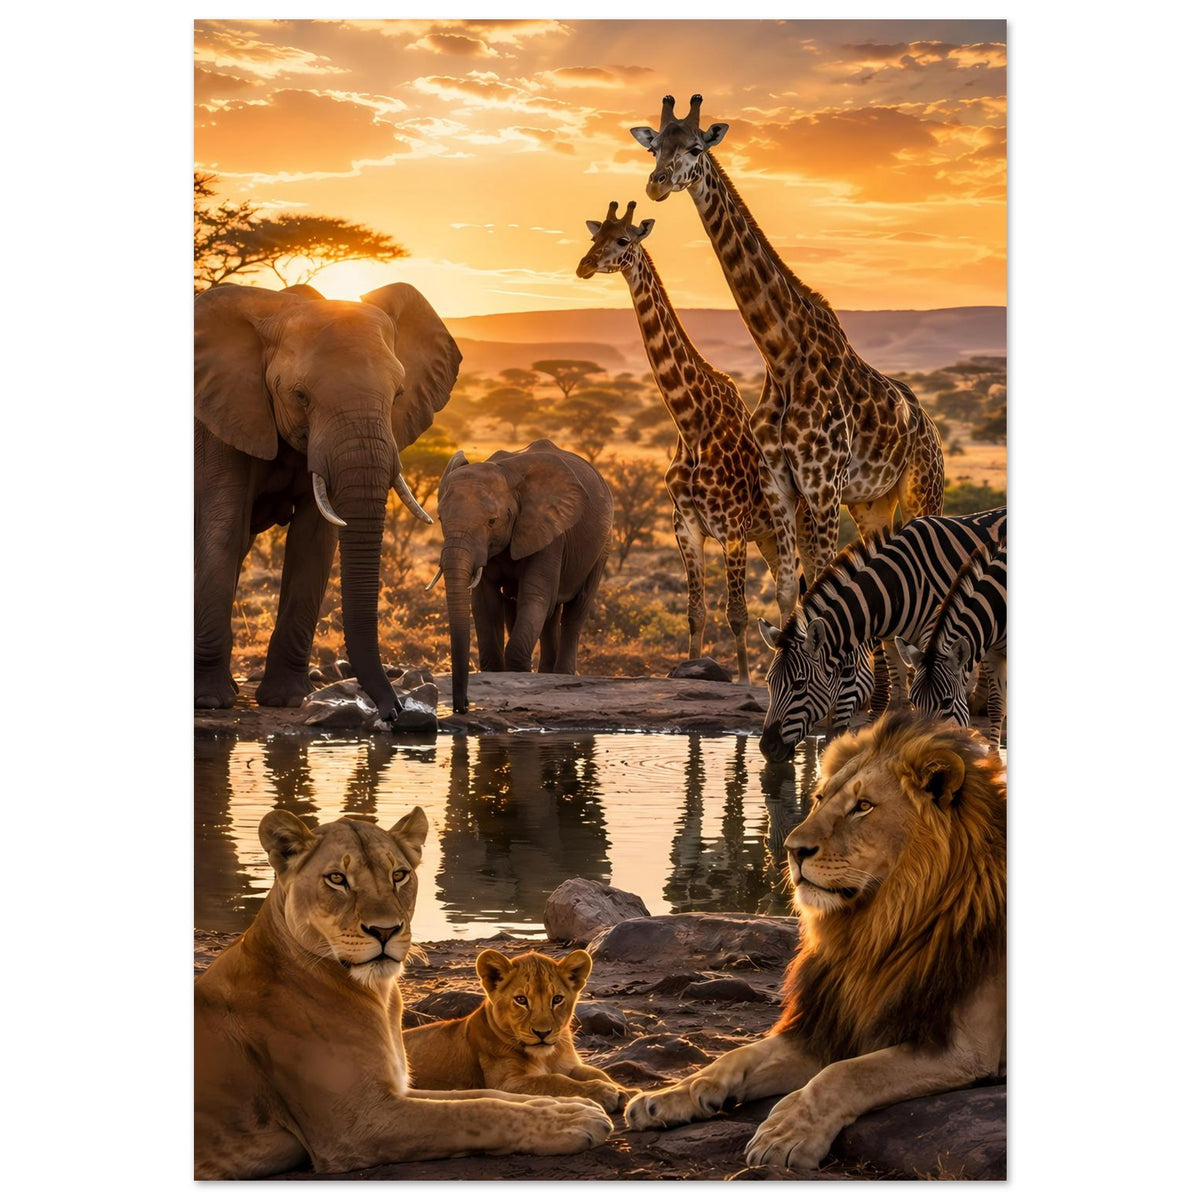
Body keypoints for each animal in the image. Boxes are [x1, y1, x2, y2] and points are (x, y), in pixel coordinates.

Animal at [404, 948, 630, 1113]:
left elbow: (595, 1072)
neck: (546, 1057)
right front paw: (604, 1092)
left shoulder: (570, 1065)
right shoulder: (505, 1084)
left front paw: (624, 1090)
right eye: (521, 1000)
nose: (542, 1033)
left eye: (557, 999)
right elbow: (555, 1081)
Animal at [625, 713, 1006, 1172]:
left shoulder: (966, 1049)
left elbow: (847, 1073)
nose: (791, 850)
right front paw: (669, 1096)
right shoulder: (832, 1023)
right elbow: (737, 1056)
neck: (878, 927)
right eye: (821, 798)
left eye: (863, 806)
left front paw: (787, 1132)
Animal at [899, 539, 1007, 748]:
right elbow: (996, 705)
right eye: (912, 701)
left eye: (947, 702)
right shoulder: (992, 652)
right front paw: (994, 755)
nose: (919, 748)